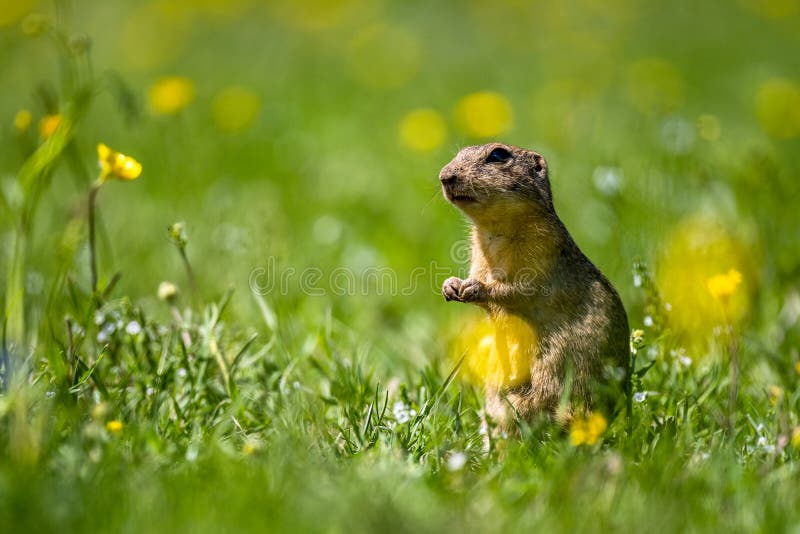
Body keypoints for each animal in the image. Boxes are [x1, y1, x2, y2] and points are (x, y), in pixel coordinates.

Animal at [438, 142, 632, 432]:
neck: (493, 230)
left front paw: (475, 287)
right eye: (460, 152)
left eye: (498, 154)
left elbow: (519, 287)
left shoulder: (541, 248)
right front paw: (451, 285)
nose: (444, 176)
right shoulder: (478, 256)